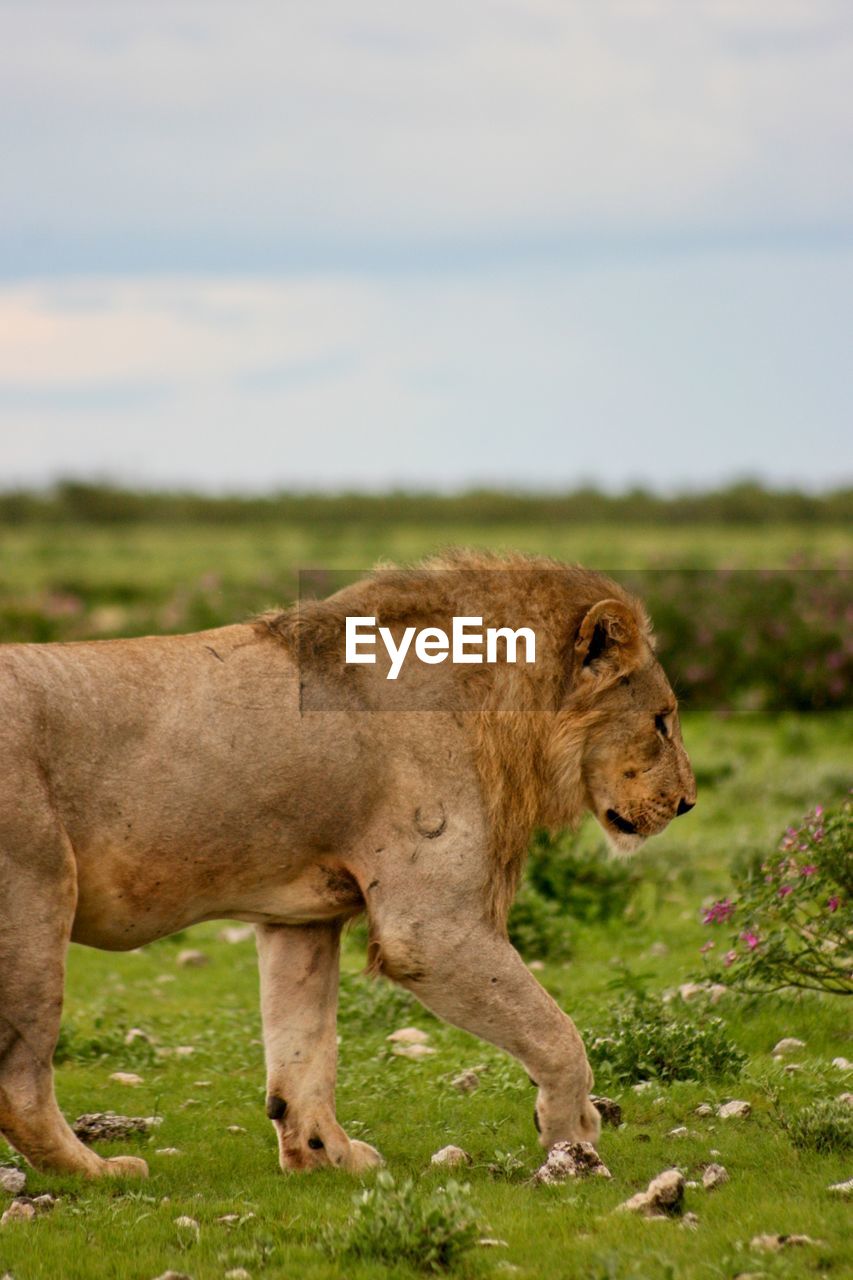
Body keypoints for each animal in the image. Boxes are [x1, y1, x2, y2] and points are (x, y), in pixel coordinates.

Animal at [0, 550, 691, 1177]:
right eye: (661, 721)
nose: (687, 802)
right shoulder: (430, 929)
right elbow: (557, 1034)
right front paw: (573, 1135)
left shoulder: (300, 920)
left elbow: (303, 1052)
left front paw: (325, 1157)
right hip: (36, 898)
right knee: (20, 1082)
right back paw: (100, 1171)